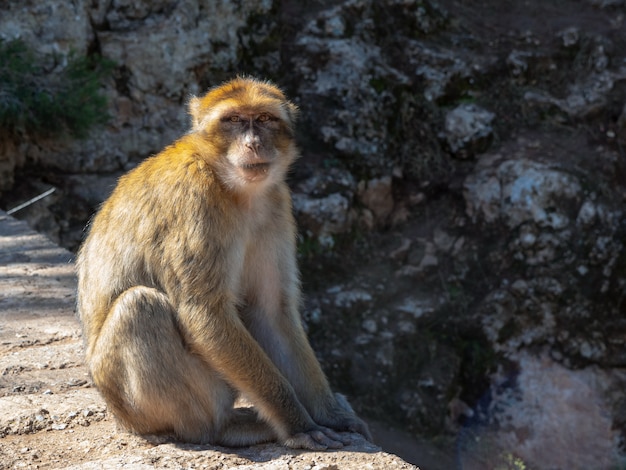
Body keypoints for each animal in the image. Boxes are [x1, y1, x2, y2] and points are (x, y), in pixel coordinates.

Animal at [77, 78, 370, 452]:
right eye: (233, 120)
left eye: (264, 119)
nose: (253, 143)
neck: (232, 188)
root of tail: (120, 419)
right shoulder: (195, 201)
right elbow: (206, 312)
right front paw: (298, 425)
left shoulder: (276, 205)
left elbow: (270, 312)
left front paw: (330, 414)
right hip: (136, 406)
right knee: (140, 307)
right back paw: (220, 428)